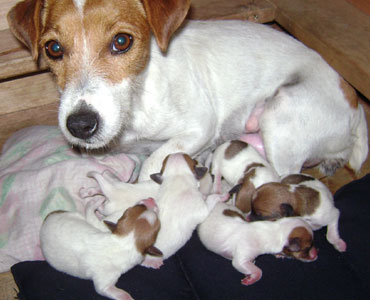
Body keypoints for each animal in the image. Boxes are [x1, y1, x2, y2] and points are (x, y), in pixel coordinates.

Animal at [7, 0, 368, 183]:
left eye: (122, 41)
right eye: (53, 48)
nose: (81, 125)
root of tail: (355, 106)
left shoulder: (198, 127)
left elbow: (154, 161)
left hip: (282, 112)